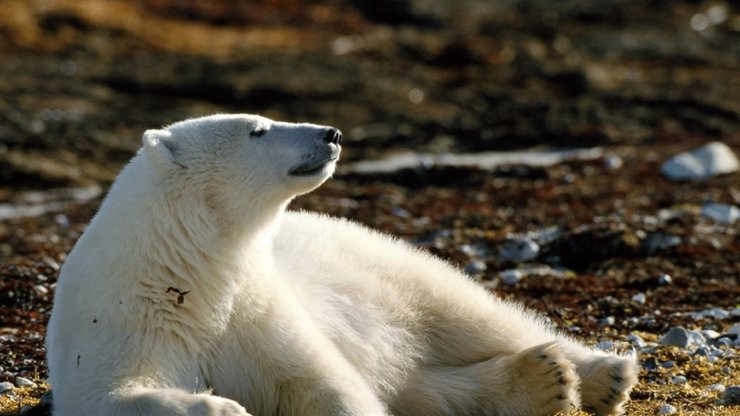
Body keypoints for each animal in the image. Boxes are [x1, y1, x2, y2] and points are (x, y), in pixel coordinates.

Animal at [46, 114, 640, 416]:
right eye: (257, 129)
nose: (330, 133)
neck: (191, 269)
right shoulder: (126, 319)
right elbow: (112, 391)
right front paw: (218, 406)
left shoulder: (256, 309)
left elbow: (326, 383)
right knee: (425, 387)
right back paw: (542, 381)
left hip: (384, 265)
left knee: (470, 315)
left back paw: (599, 374)